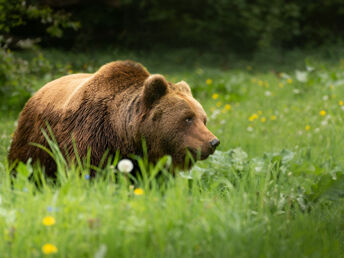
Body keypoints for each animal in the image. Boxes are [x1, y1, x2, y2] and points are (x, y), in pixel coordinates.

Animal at [8, 60, 219, 175]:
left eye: (204, 119)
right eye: (188, 118)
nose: (213, 142)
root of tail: (39, 90)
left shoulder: (151, 160)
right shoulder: (92, 139)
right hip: (36, 142)